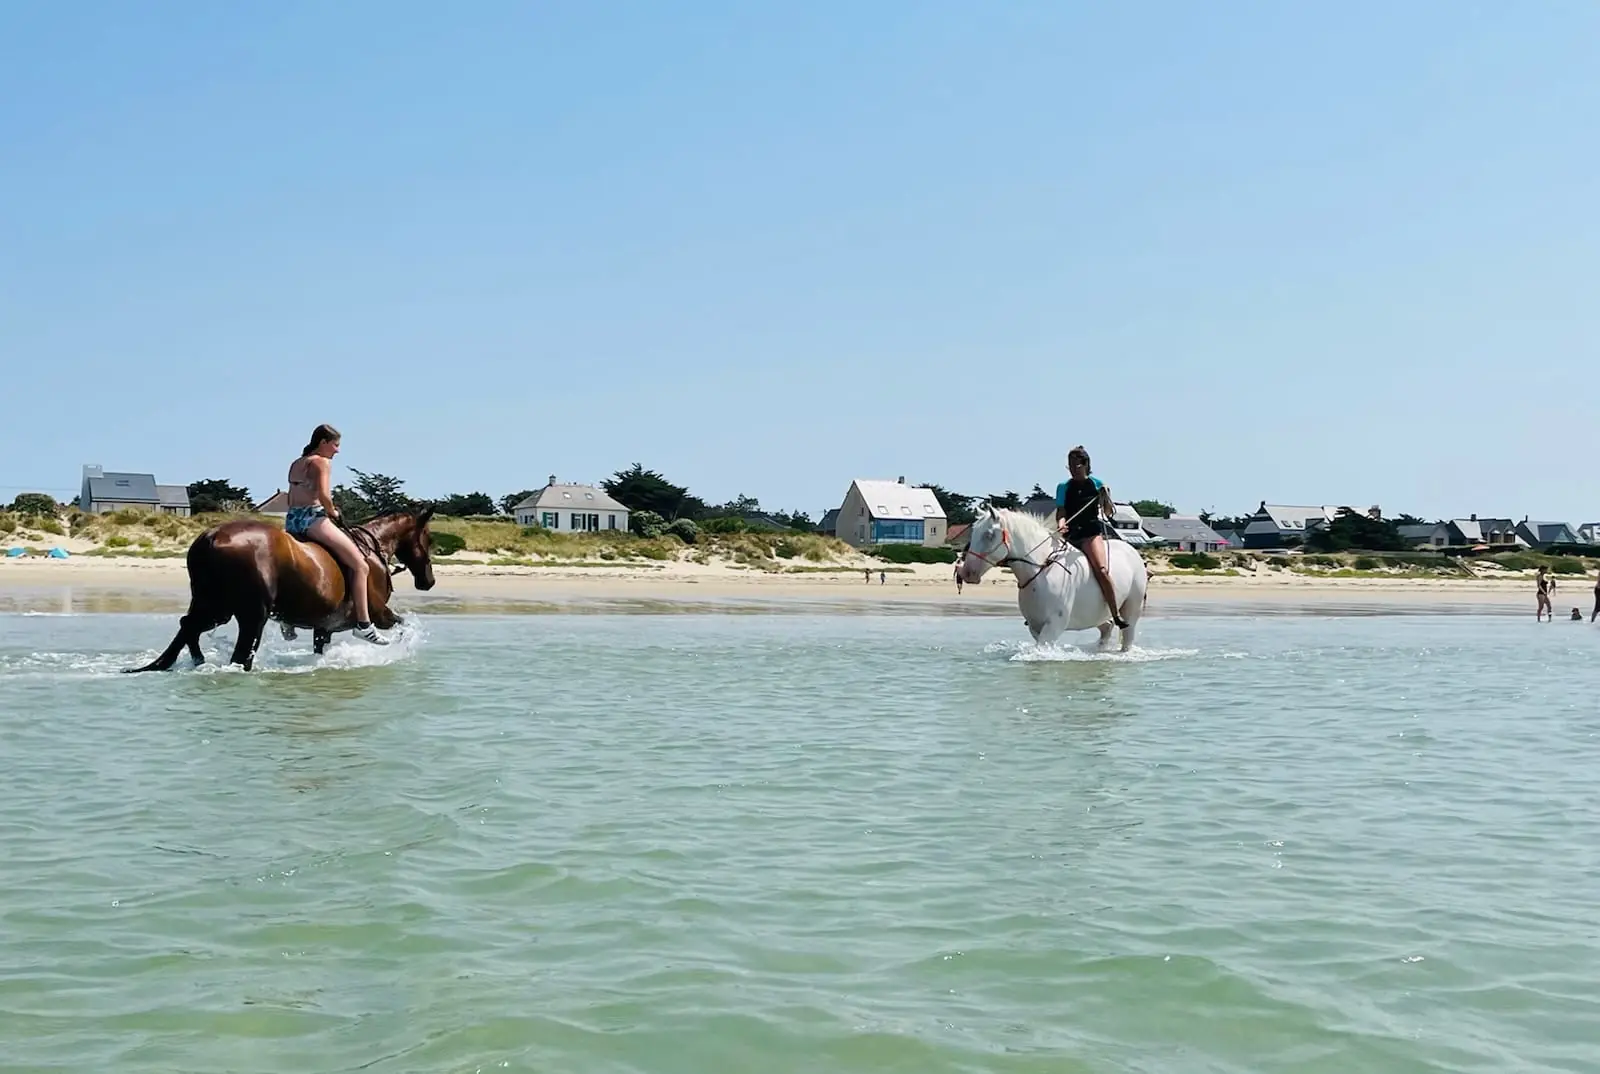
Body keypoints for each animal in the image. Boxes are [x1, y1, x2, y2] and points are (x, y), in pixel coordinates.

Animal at [126, 508, 438, 672]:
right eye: (428, 537)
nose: (429, 581)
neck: (372, 549)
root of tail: (211, 536)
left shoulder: (323, 627)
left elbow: (320, 649)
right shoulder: (379, 614)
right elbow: (402, 627)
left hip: (214, 608)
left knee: (187, 626)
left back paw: (188, 661)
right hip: (252, 617)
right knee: (239, 655)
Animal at [957, 504, 1148, 650]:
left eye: (988, 535)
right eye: (973, 533)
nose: (966, 572)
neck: (1040, 571)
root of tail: (1134, 553)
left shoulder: (1054, 625)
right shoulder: (1036, 626)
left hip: (1131, 609)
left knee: (1127, 634)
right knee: (1106, 627)